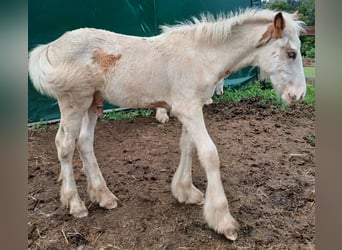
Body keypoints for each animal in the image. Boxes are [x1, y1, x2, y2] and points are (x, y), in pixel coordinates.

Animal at [29, 9, 306, 240]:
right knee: (65, 145)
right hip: (74, 102)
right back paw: (75, 204)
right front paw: (223, 221)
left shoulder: (190, 108)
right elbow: (209, 154)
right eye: (291, 53)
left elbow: (187, 147)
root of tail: (52, 47)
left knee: (85, 142)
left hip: (91, 103)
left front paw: (185, 191)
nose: (299, 95)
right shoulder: (190, 110)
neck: (201, 56)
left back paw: (104, 196)